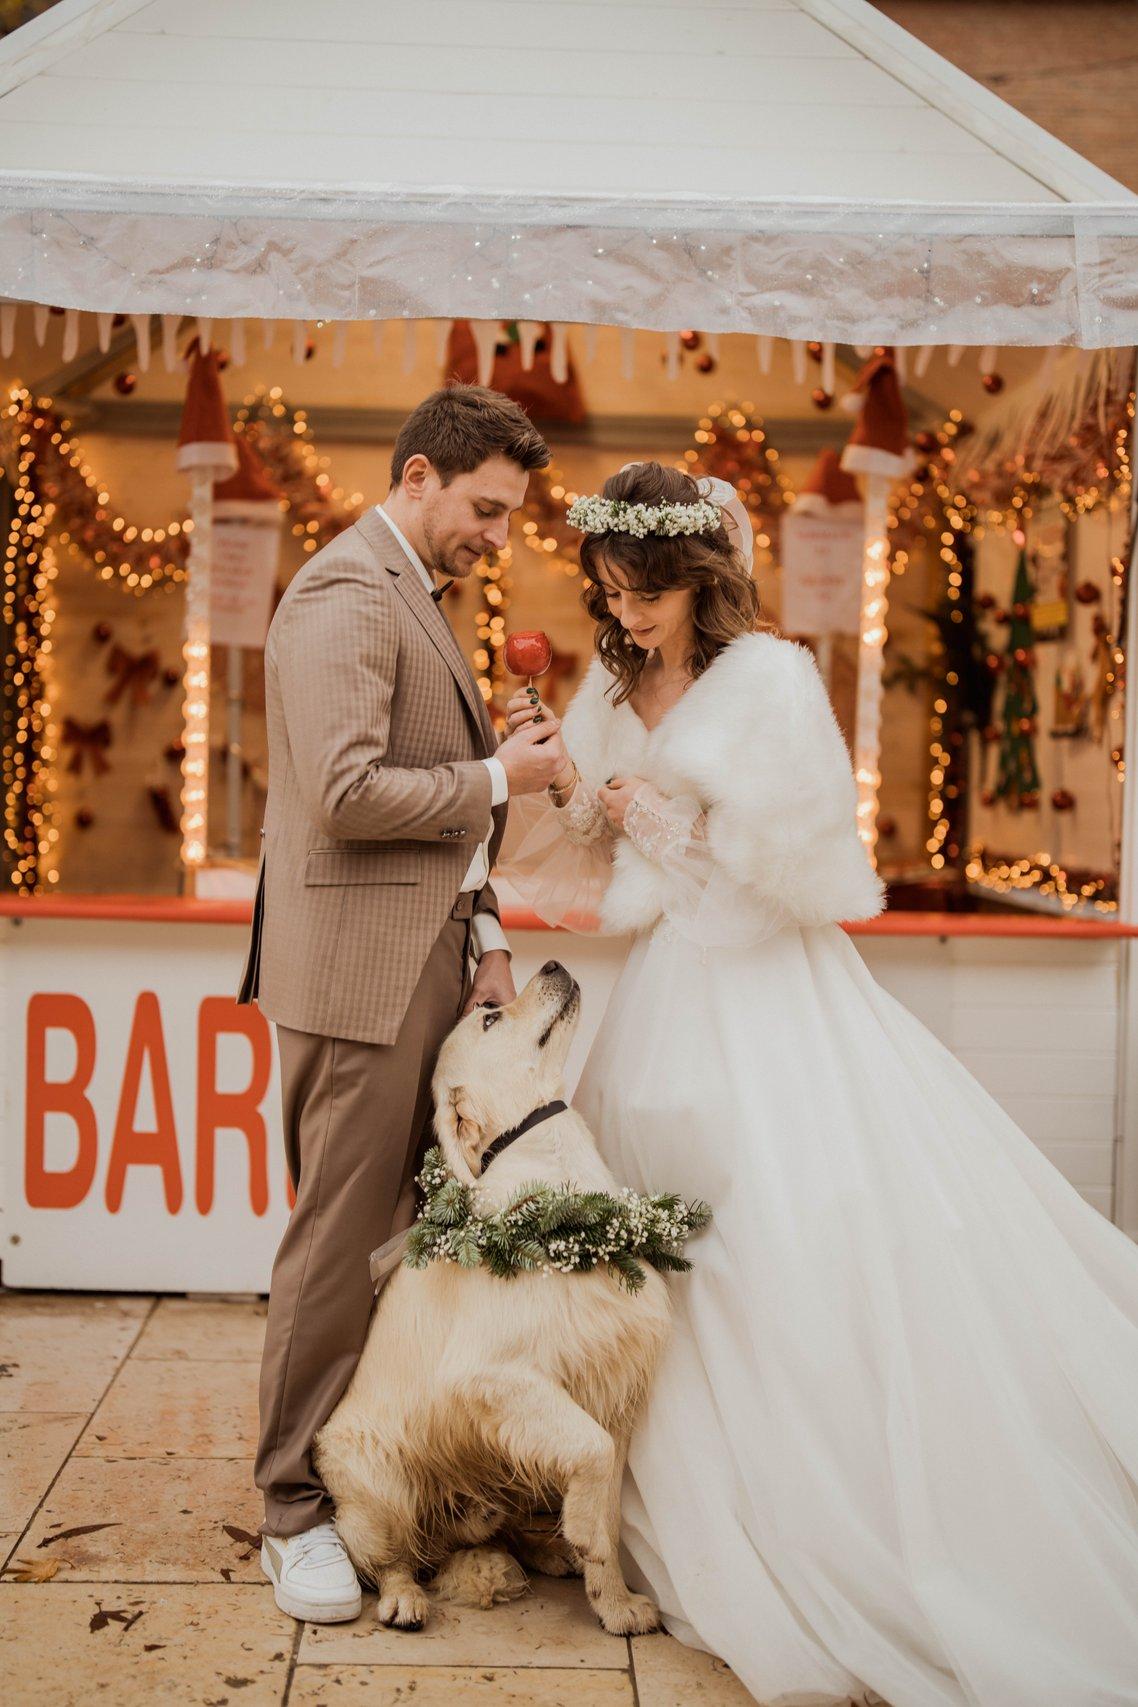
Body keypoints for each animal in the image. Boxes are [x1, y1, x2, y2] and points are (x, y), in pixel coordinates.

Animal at [312, 962, 672, 1638]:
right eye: (491, 1018)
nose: (554, 964)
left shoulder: (609, 1377)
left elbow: (610, 1510)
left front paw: (615, 1604)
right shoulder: (491, 1376)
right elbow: (593, 1455)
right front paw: (587, 1541)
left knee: (499, 1532)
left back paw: (548, 1551)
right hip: (375, 1473)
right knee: (390, 1558)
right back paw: (405, 1599)